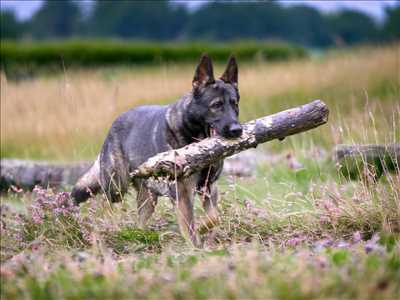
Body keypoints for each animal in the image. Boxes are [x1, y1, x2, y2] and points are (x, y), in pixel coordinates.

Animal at [70, 54, 242, 246]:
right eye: (216, 105)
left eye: (235, 104)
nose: (237, 130)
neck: (196, 141)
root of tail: (114, 124)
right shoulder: (182, 193)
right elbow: (190, 226)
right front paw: (195, 244)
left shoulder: (209, 187)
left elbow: (214, 218)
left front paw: (203, 228)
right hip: (117, 187)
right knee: (105, 204)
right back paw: (110, 229)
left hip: (148, 199)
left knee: (140, 219)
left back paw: (140, 235)